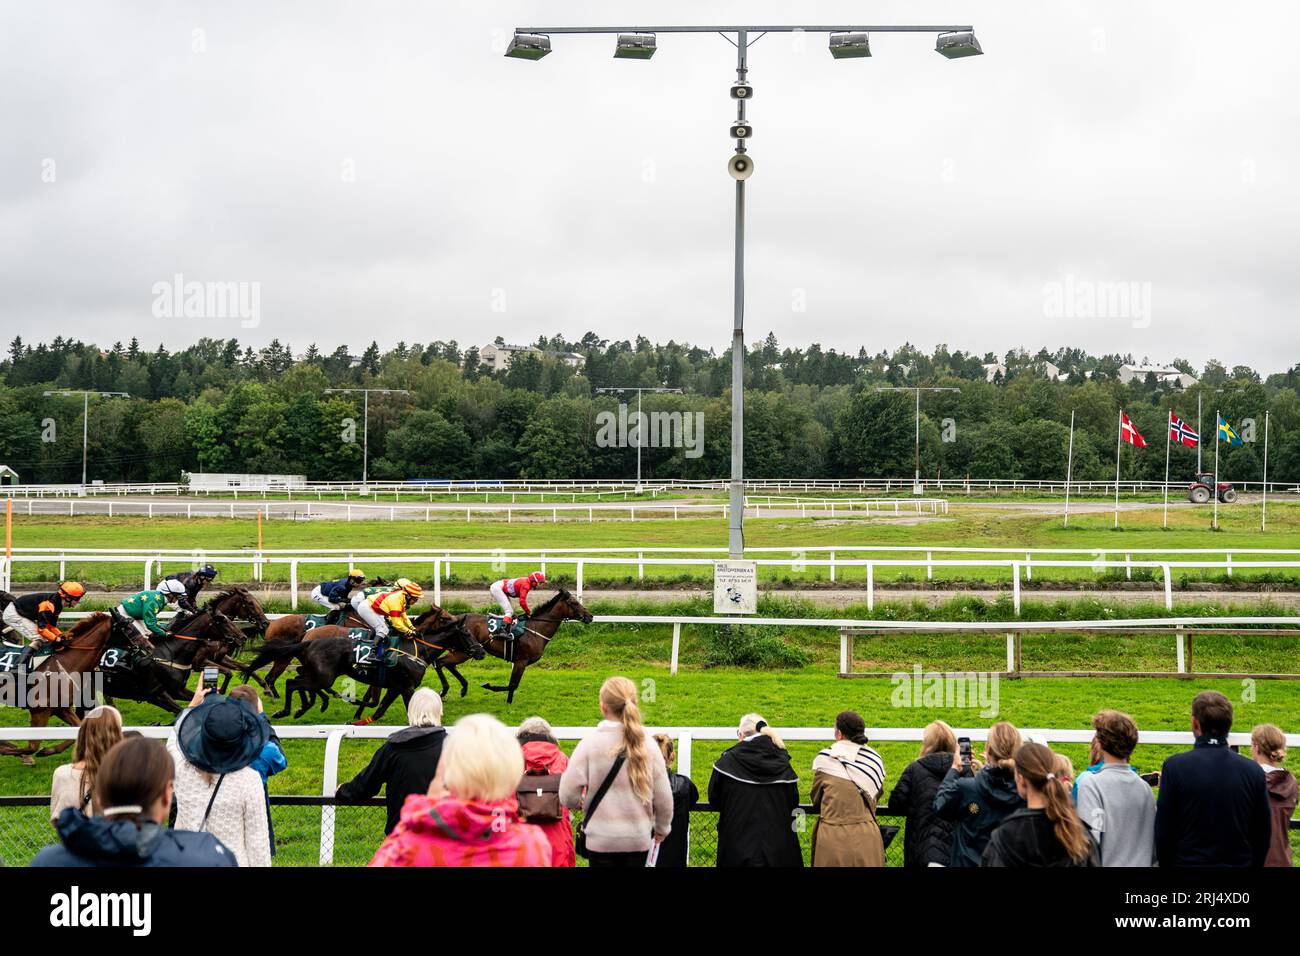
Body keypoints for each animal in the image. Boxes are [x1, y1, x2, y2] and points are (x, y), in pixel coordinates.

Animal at [0, 616, 152, 764]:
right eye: (128, 628)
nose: (149, 646)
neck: (65, 664)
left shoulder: (61, 708)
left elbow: (77, 729)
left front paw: (48, 750)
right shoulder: (39, 711)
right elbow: (32, 747)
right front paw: (11, 751)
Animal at [431, 587, 595, 707]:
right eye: (574, 603)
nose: (590, 616)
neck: (536, 629)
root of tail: (455, 620)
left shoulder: (520, 662)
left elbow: (513, 685)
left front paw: (508, 702)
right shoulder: (521, 661)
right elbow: (512, 685)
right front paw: (489, 686)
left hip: (463, 651)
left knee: (448, 664)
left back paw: (463, 688)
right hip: (464, 651)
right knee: (440, 662)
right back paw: (444, 691)